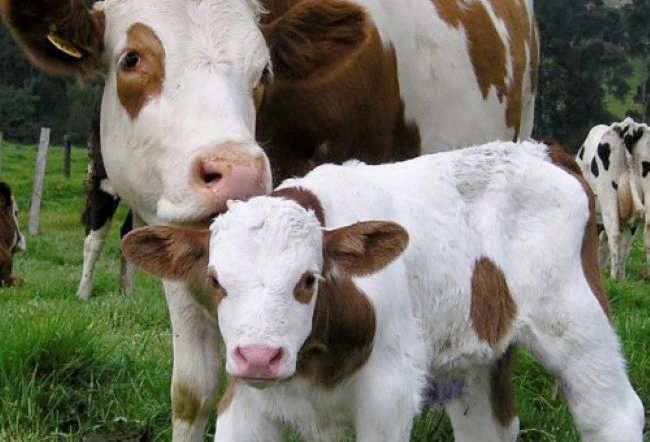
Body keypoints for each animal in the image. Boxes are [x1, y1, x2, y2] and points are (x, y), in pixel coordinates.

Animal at [123, 142, 644, 442]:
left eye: (308, 280)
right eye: (216, 280)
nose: (259, 356)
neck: (314, 361)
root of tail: (544, 150)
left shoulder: (387, 394)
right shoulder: (247, 401)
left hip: (574, 319)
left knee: (612, 414)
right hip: (475, 350)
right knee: (487, 427)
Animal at [576, 118, 644, 280]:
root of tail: (628, 126)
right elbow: (626, 245)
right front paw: (622, 278)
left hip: (608, 194)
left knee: (613, 232)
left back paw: (613, 277)